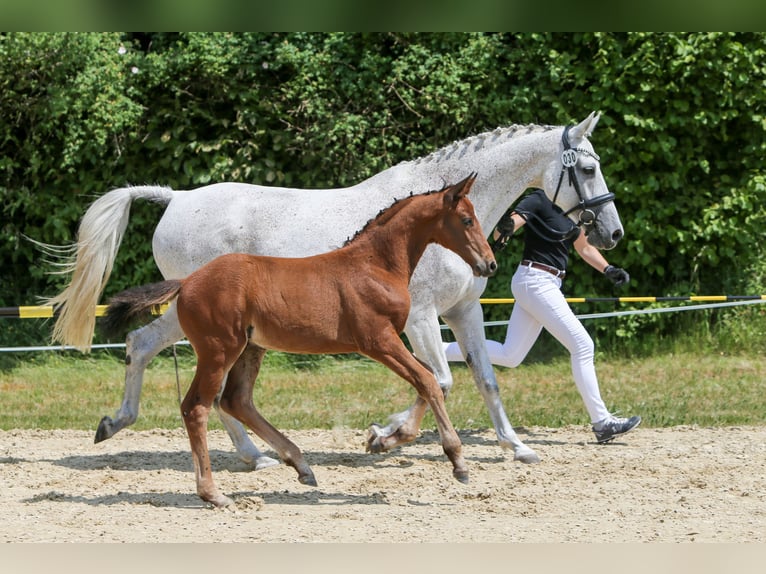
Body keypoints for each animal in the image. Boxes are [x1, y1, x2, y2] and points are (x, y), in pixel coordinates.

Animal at [44, 112, 622, 469]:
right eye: (590, 168)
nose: (612, 234)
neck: (427, 226)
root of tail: (176, 199)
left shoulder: (463, 312)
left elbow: (484, 379)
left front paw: (517, 446)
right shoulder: (421, 319)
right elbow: (438, 380)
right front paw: (385, 436)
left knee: (148, 349)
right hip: (209, 322)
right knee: (169, 363)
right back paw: (244, 453)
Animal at [101, 175, 495, 507]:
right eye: (466, 220)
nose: (489, 265)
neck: (375, 265)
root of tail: (187, 283)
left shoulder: (390, 342)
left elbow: (432, 381)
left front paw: (386, 437)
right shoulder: (379, 340)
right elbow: (428, 380)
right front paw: (457, 462)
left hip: (250, 348)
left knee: (236, 400)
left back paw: (300, 465)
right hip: (218, 350)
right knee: (197, 406)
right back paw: (214, 493)